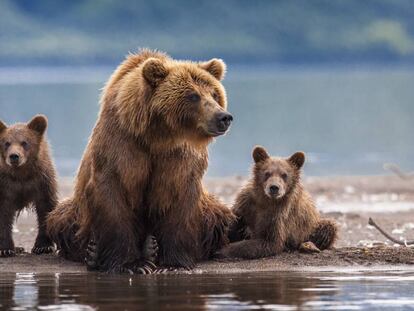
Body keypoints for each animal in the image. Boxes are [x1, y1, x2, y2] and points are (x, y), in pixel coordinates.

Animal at [47, 48, 234, 272]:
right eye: (193, 95)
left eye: (215, 94)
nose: (223, 117)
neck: (158, 136)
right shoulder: (121, 145)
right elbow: (113, 195)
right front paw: (131, 264)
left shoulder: (179, 157)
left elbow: (180, 199)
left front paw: (173, 264)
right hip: (77, 211)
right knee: (61, 220)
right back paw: (92, 253)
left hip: (209, 209)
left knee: (219, 216)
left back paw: (151, 247)